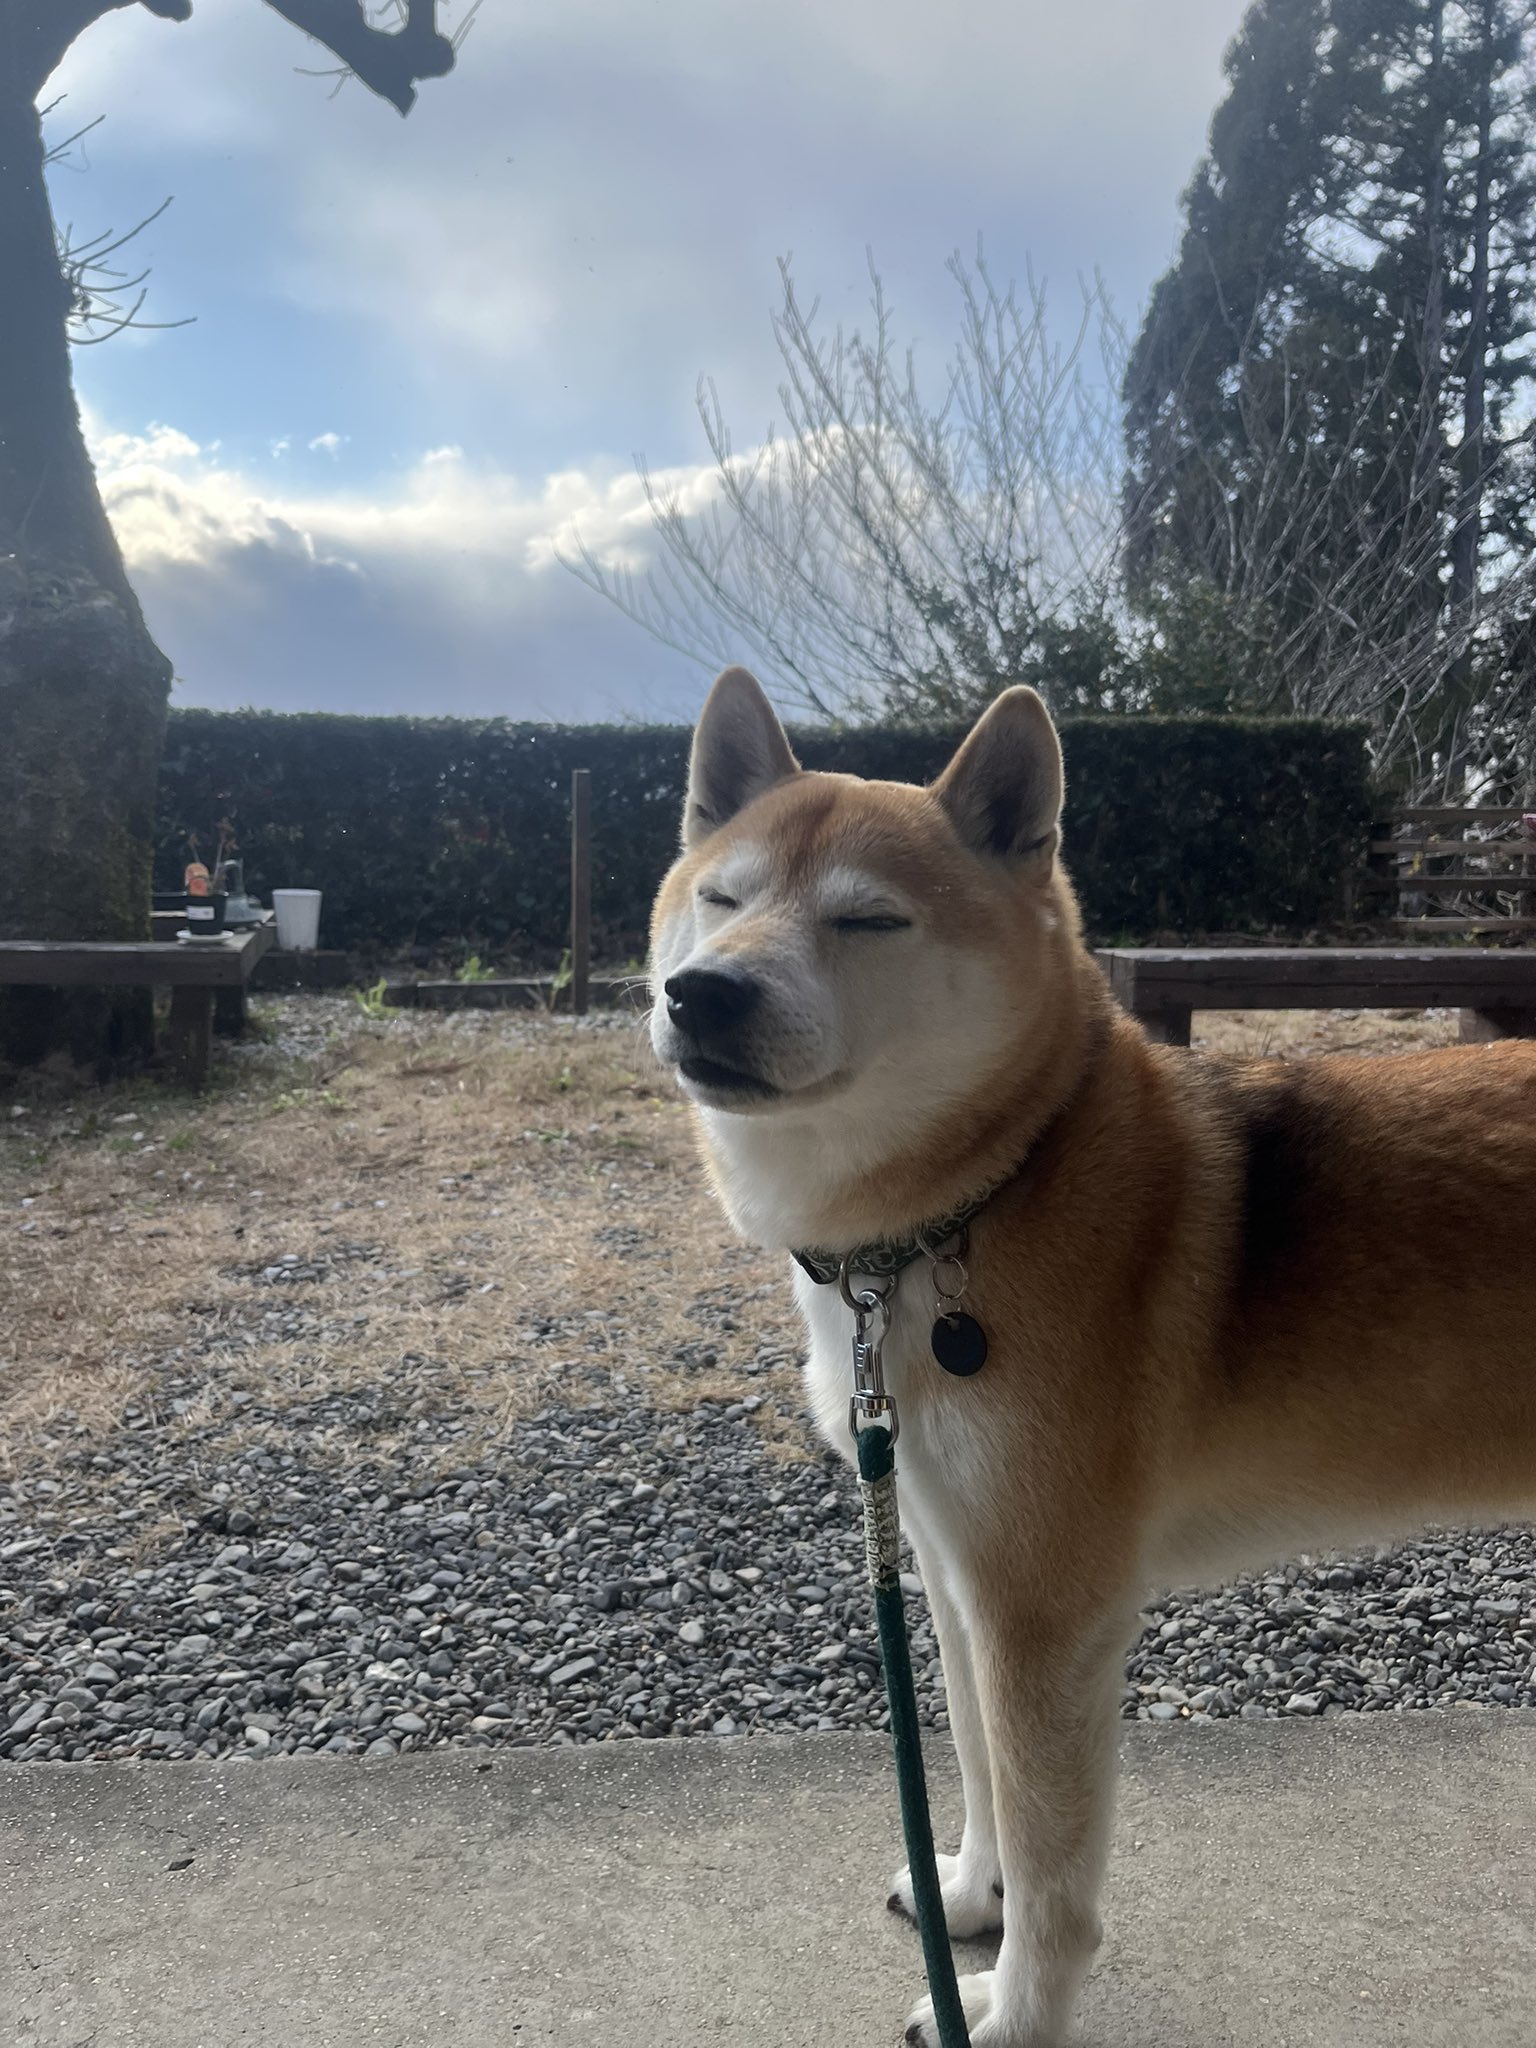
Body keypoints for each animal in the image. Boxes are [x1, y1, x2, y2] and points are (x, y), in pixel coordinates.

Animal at [648, 665, 1536, 2047]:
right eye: (722, 898)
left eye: (868, 918)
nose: (704, 990)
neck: (984, 1194)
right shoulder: (956, 1567)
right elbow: (978, 1771)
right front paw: (969, 1897)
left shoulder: (1044, 1608)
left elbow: (1054, 1855)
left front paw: (1011, 2013)